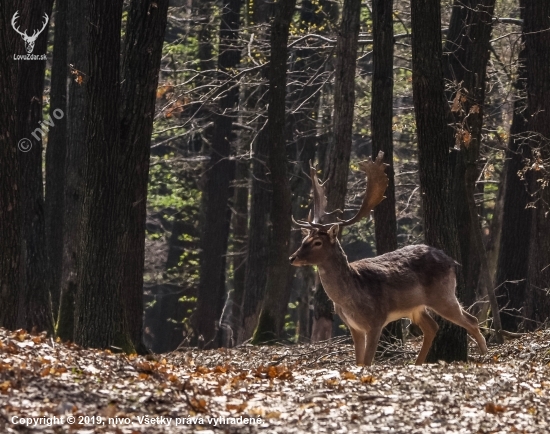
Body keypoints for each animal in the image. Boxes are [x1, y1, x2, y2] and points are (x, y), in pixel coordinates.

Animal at [292, 153, 490, 366]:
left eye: (318, 242)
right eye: (304, 240)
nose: (292, 257)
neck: (350, 298)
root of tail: (452, 262)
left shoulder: (376, 320)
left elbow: (367, 361)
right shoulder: (353, 326)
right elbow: (359, 362)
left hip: (443, 294)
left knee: (471, 320)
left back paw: (485, 356)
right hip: (417, 307)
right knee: (433, 327)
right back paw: (417, 363)